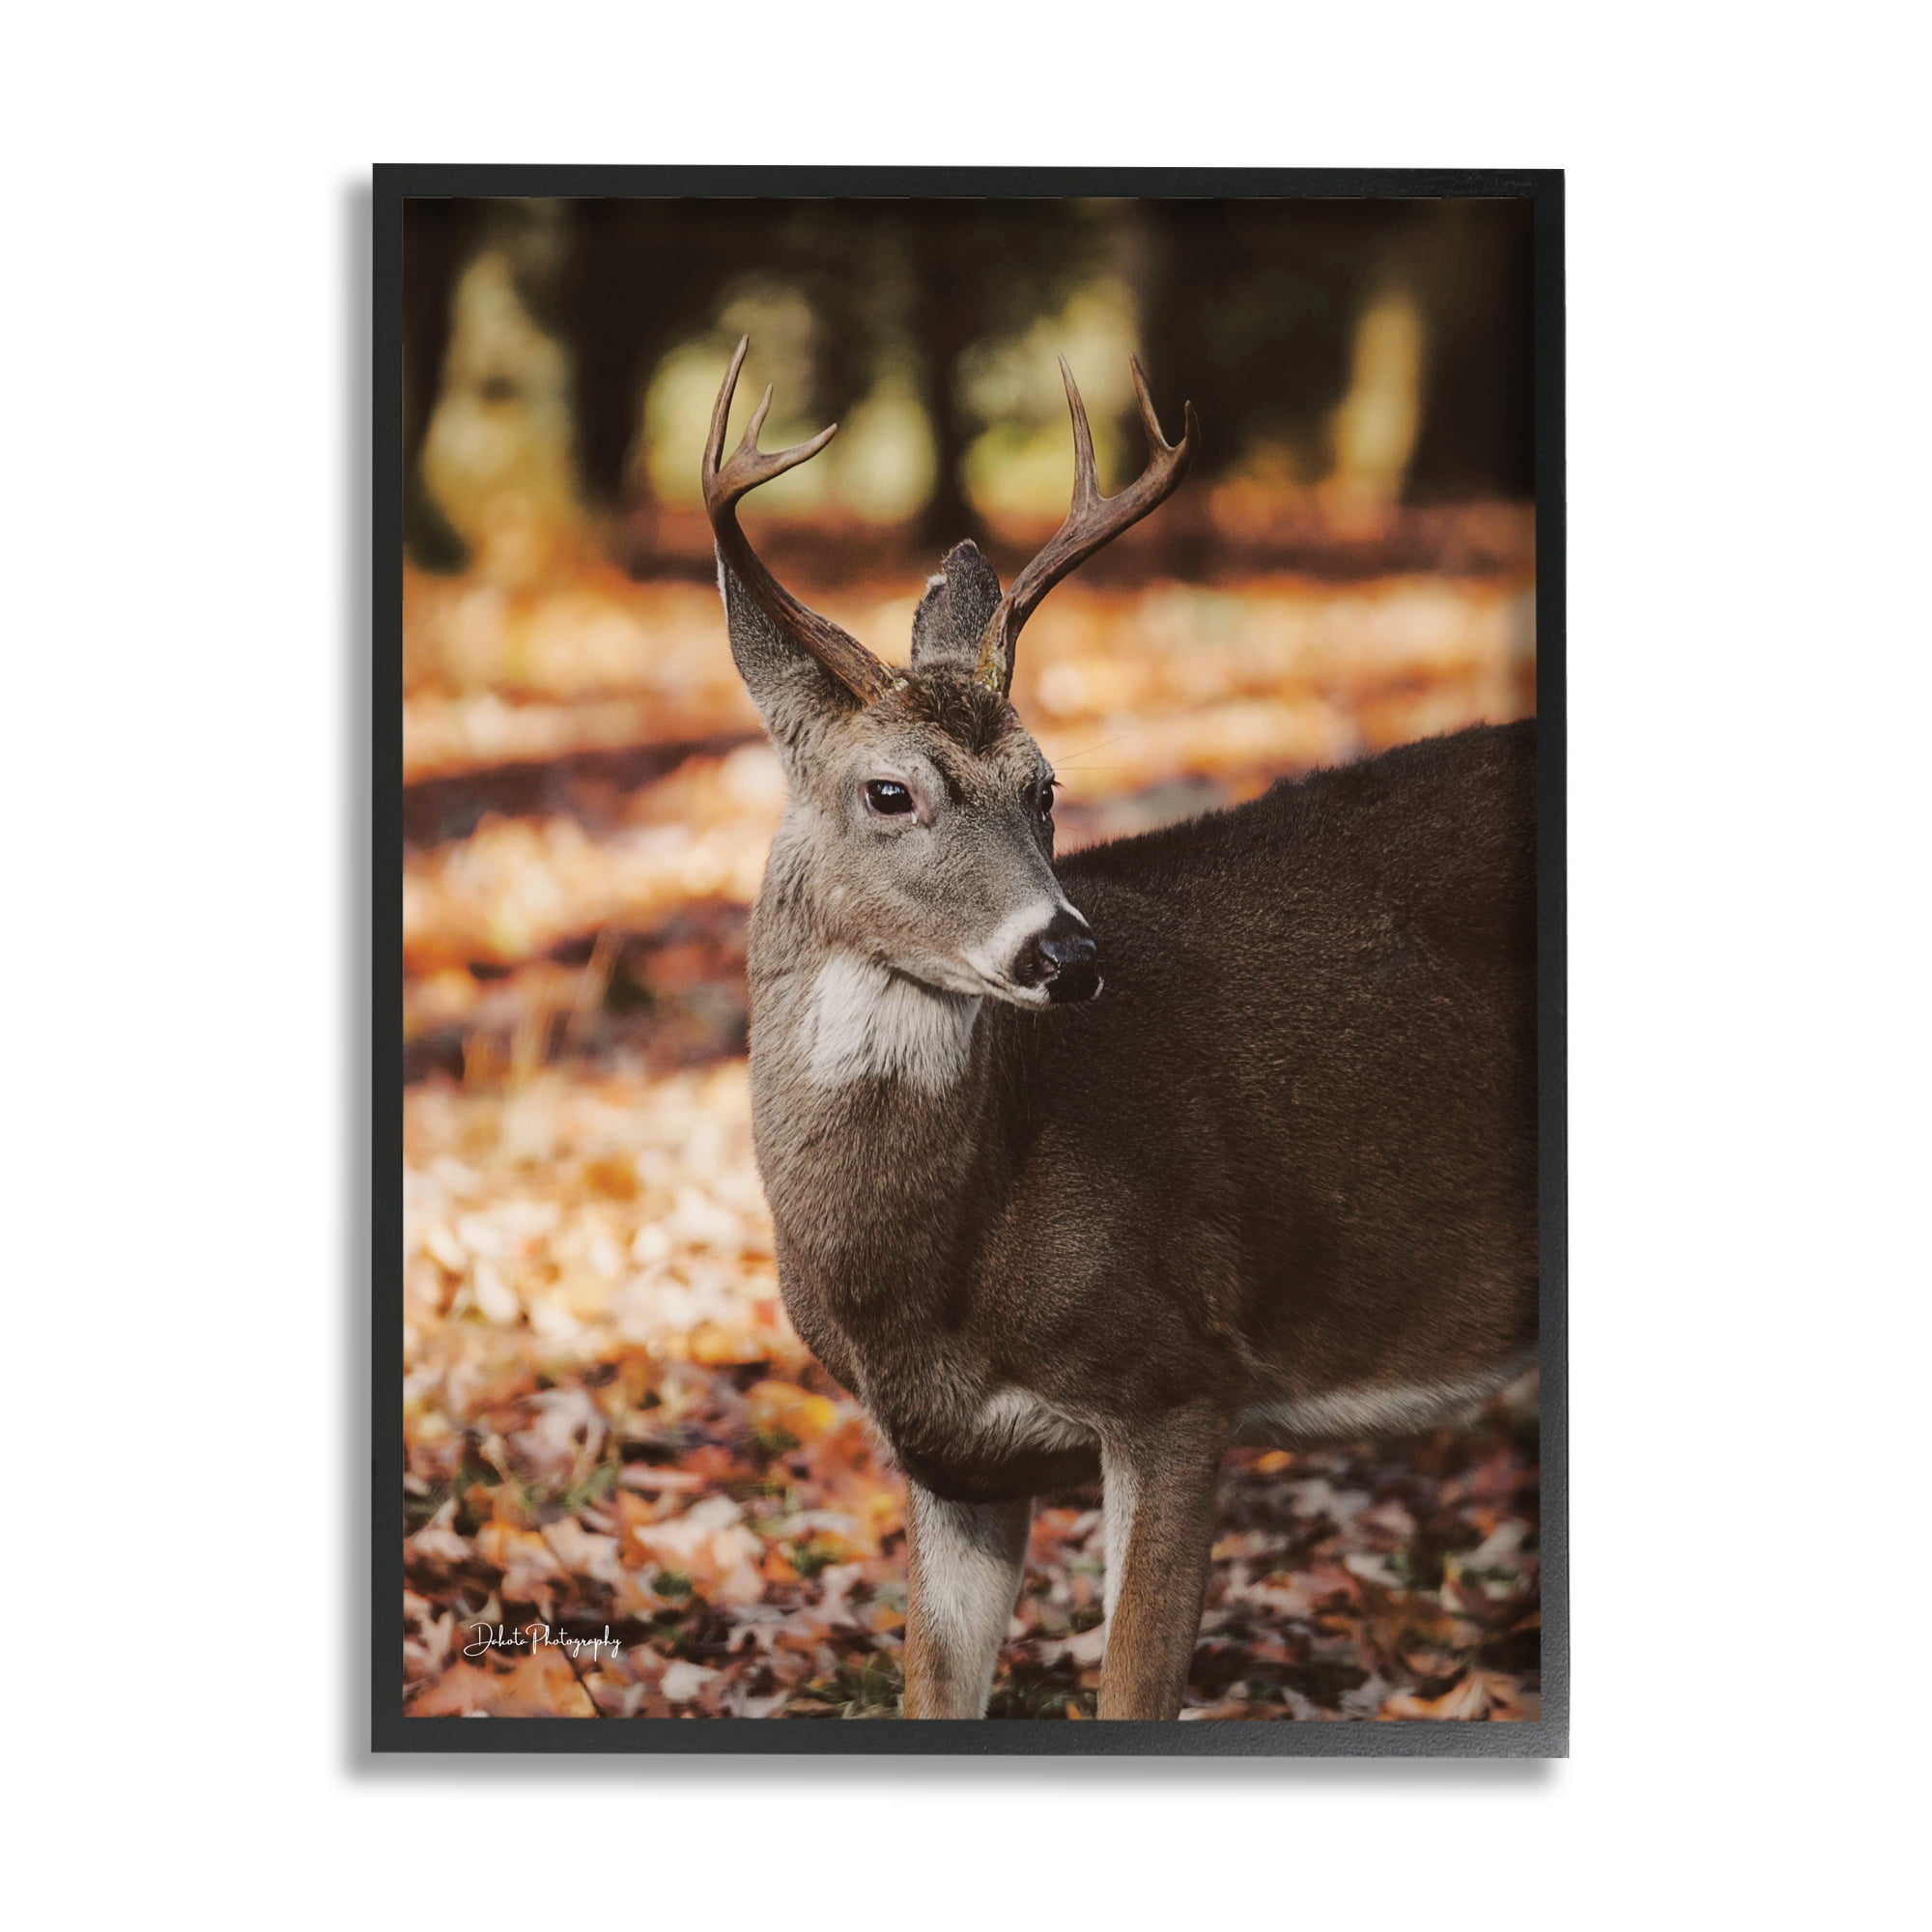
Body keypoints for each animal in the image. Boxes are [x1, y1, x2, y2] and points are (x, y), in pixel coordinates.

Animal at [701, 337, 1537, 1720]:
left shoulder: (1183, 1373)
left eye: (1046, 787)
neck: (927, 1279)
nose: (1069, 954)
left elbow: (1133, 1690)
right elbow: (934, 1695)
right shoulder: (950, 1461)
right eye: (889, 791)